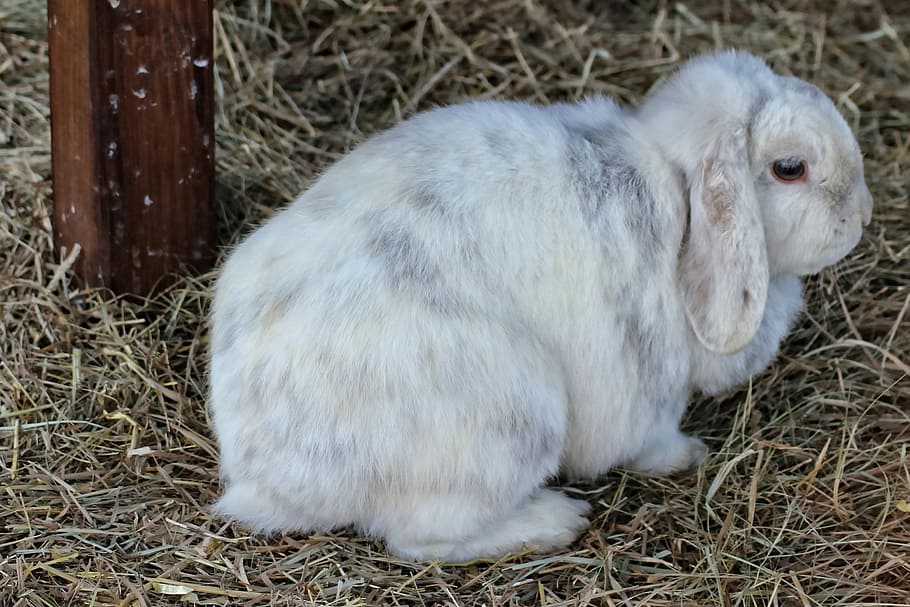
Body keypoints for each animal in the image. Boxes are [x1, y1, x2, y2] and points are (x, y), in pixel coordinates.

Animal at [208, 50, 873, 562]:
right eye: (789, 168)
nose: (863, 213)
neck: (675, 187)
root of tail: (263, 474)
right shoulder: (648, 384)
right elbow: (652, 438)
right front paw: (687, 456)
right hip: (512, 417)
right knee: (422, 538)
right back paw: (555, 521)